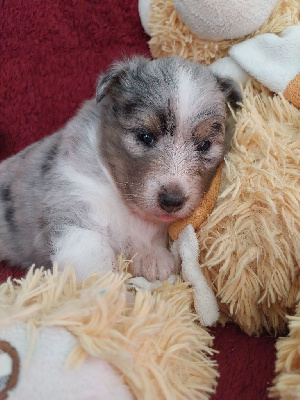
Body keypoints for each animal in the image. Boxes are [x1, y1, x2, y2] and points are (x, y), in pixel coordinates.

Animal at [0, 55, 240, 282]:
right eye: (145, 136)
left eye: (204, 145)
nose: (172, 201)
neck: (123, 202)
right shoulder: (74, 215)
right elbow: (99, 269)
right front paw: (118, 296)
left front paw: (154, 259)